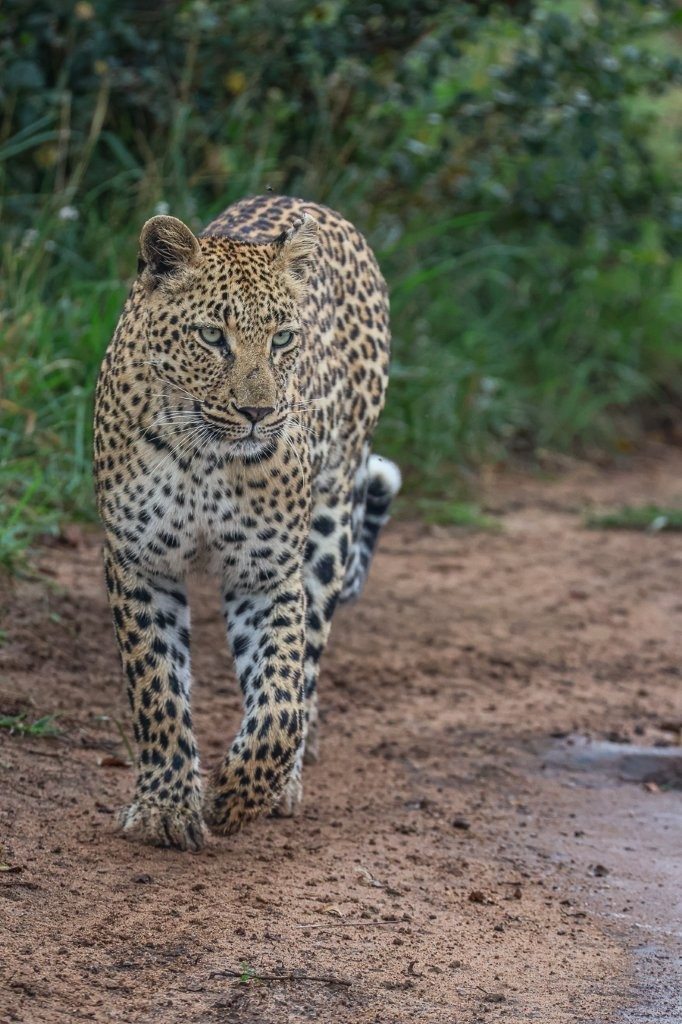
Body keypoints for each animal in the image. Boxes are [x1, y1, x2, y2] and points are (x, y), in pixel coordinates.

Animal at [94, 193, 400, 851]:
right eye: (213, 336)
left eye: (283, 338)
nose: (259, 412)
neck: (205, 456)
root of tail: (309, 202)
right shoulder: (139, 562)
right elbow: (157, 688)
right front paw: (166, 806)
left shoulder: (268, 574)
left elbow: (281, 698)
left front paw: (237, 796)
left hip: (331, 521)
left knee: (308, 662)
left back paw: (286, 779)